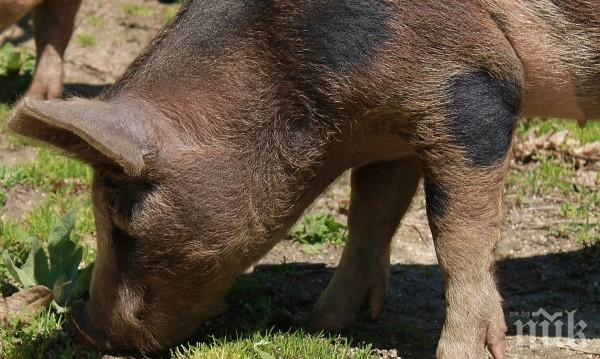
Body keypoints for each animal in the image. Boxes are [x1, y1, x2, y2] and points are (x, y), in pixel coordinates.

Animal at [5, 0, 600, 359]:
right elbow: (370, 214)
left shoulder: (473, 86)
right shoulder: (391, 126)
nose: (82, 324)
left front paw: (458, 352)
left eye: (118, 217)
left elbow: (457, 234)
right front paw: (322, 324)